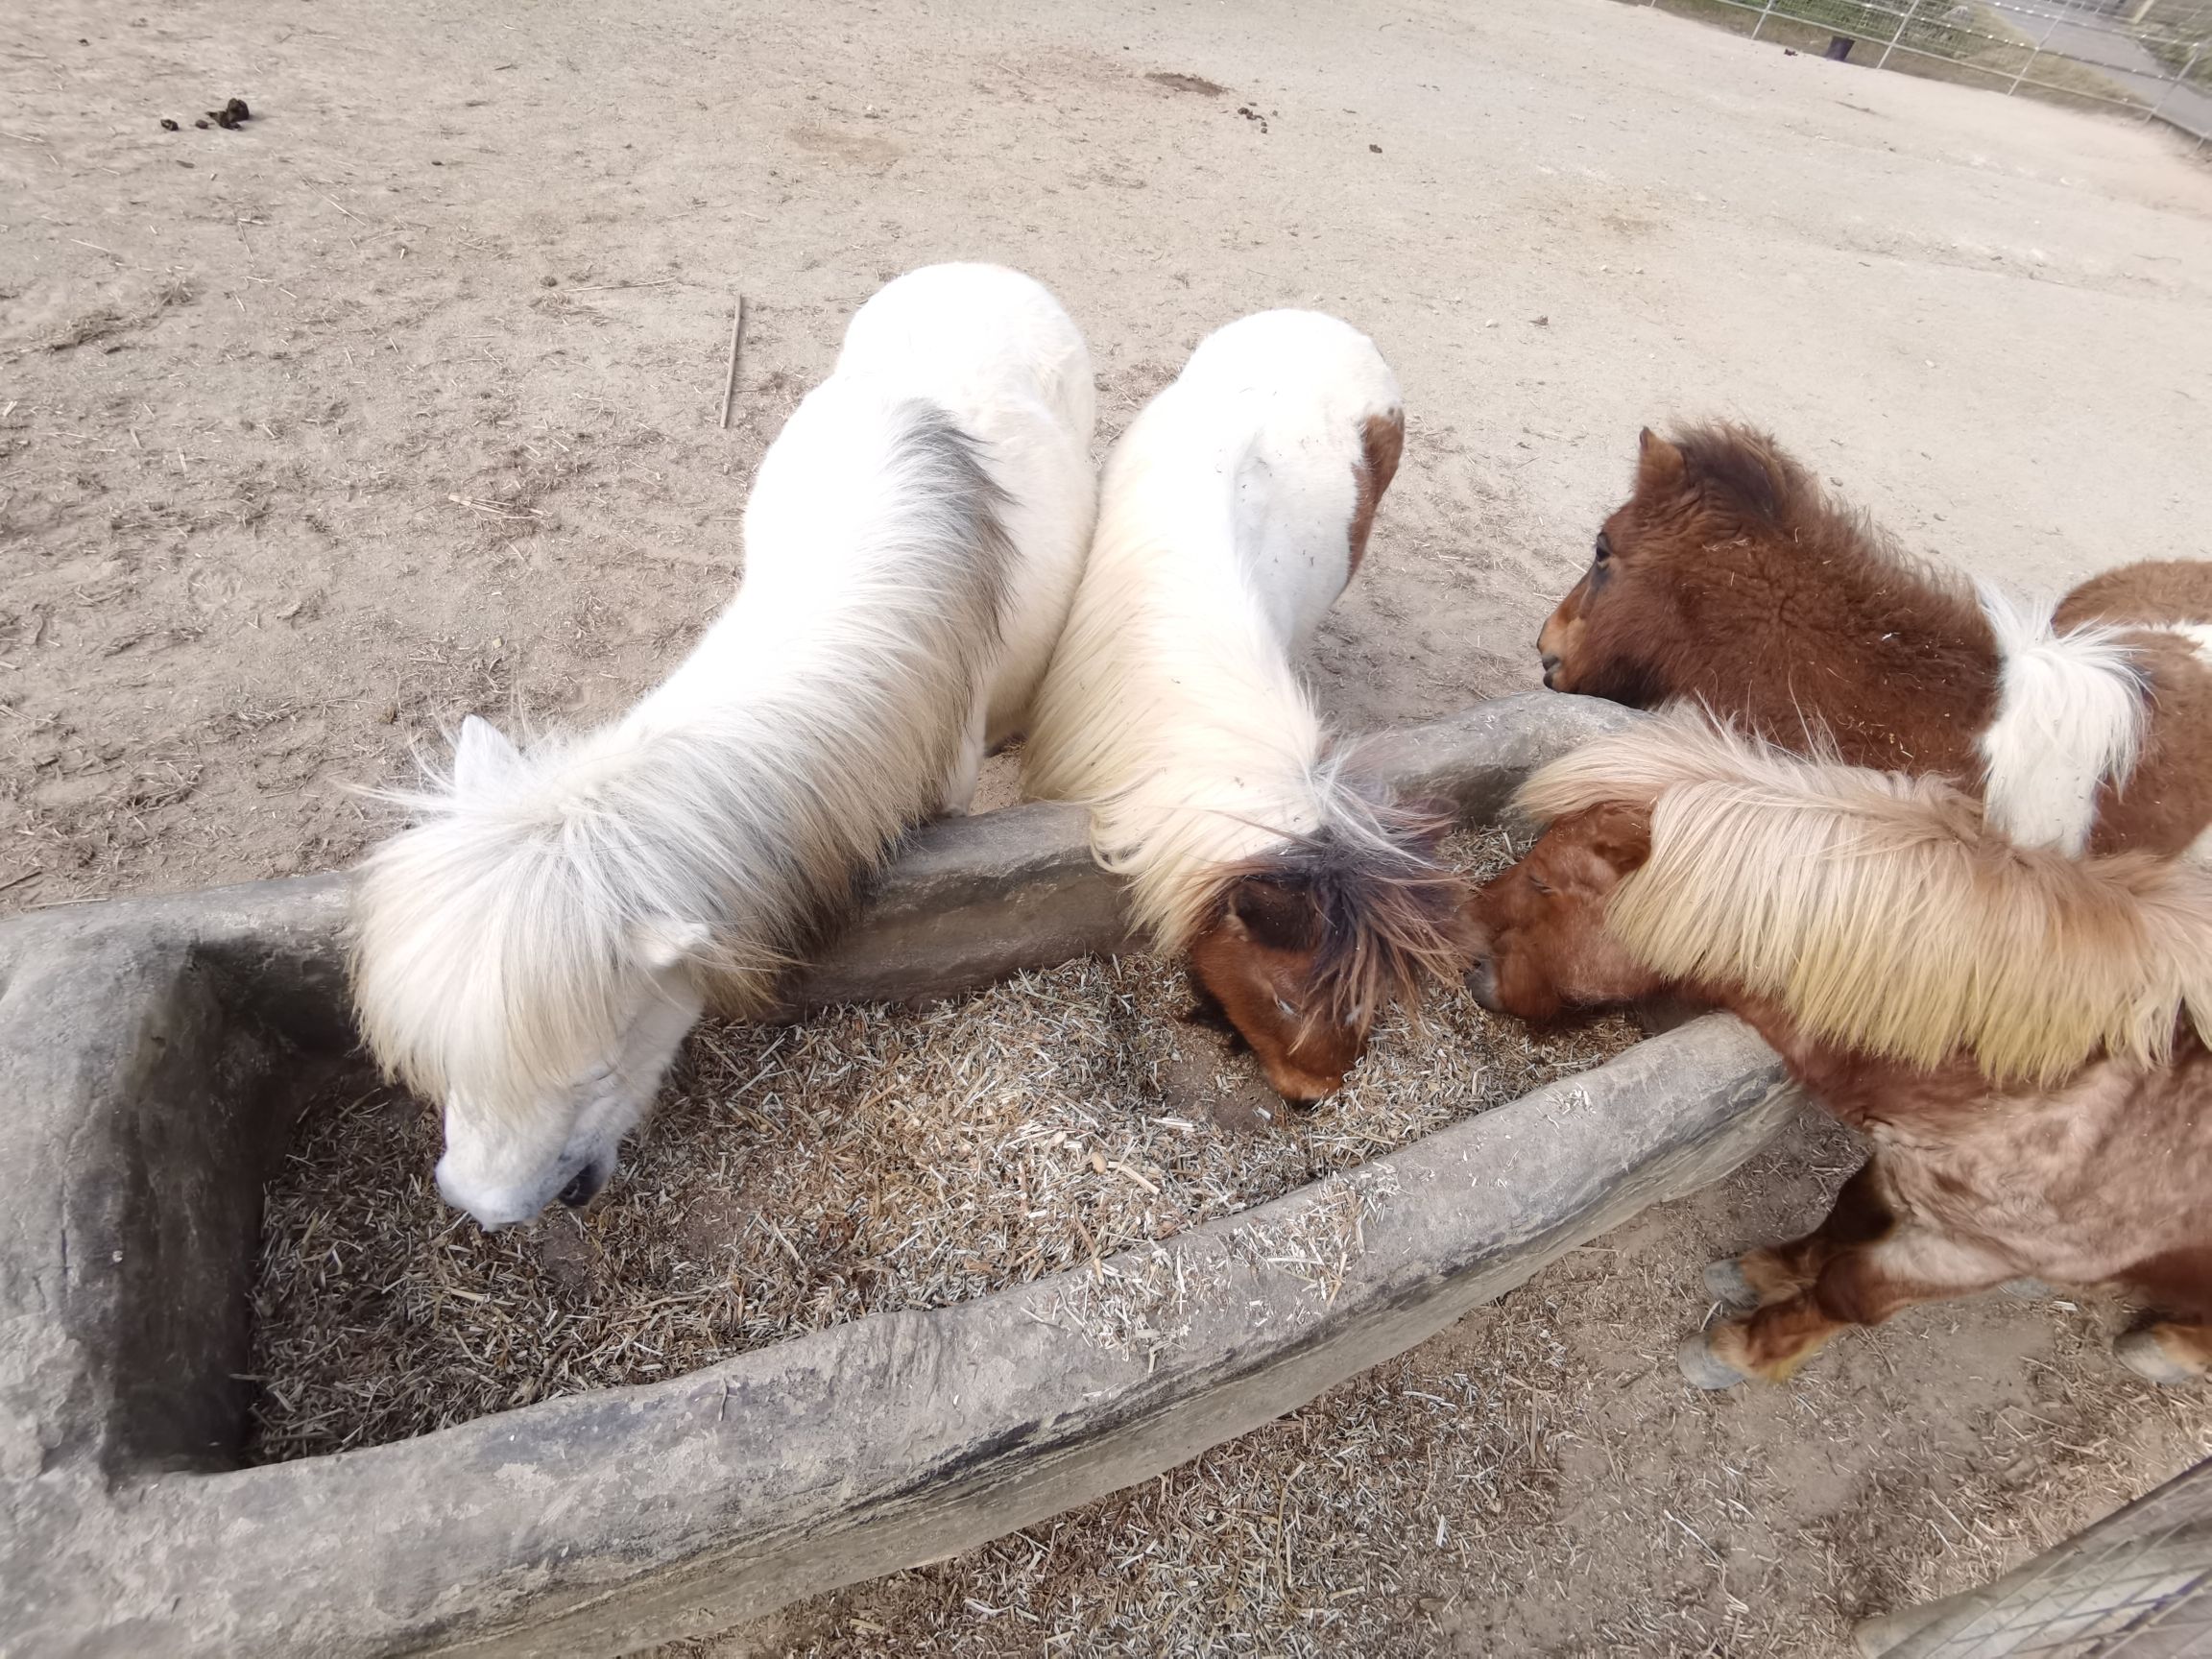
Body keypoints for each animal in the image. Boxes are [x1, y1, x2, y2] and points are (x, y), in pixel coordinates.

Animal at [1462, 711, 2212, 1389]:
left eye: (1544, 884)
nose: (1472, 970)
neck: (2040, 1074)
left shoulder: (1974, 1251)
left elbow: (1850, 1289)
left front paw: (1740, 1351)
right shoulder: (1900, 1164)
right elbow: (1847, 1212)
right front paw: (1762, 1273)